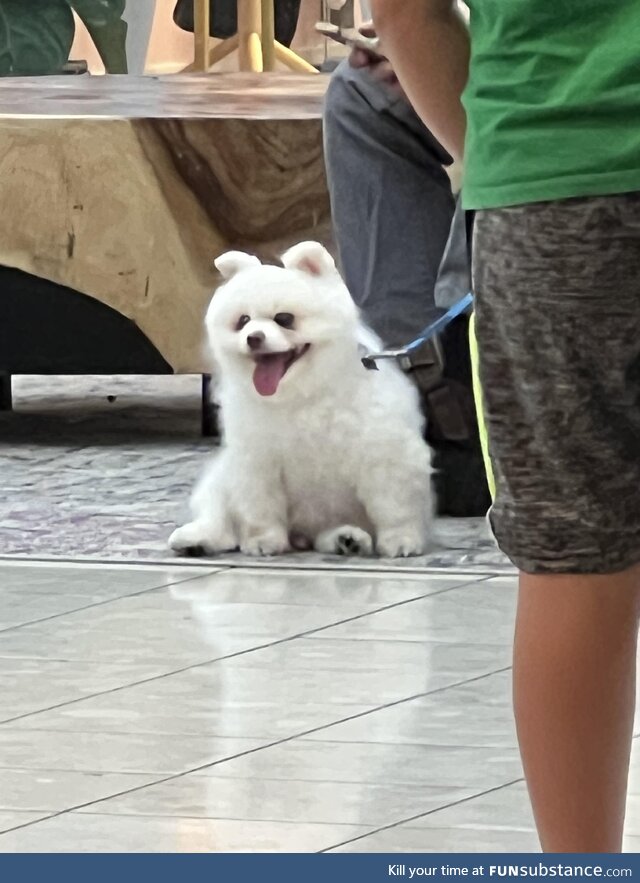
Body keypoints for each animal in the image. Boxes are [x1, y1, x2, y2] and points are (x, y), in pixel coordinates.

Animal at [168, 240, 432, 560]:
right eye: (243, 321)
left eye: (285, 319)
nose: (253, 337)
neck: (301, 394)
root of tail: (302, 536)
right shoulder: (257, 461)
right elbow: (260, 507)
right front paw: (264, 540)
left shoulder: (384, 454)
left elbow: (394, 506)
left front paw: (401, 539)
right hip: (221, 479)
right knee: (219, 516)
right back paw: (197, 538)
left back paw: (347, 538)